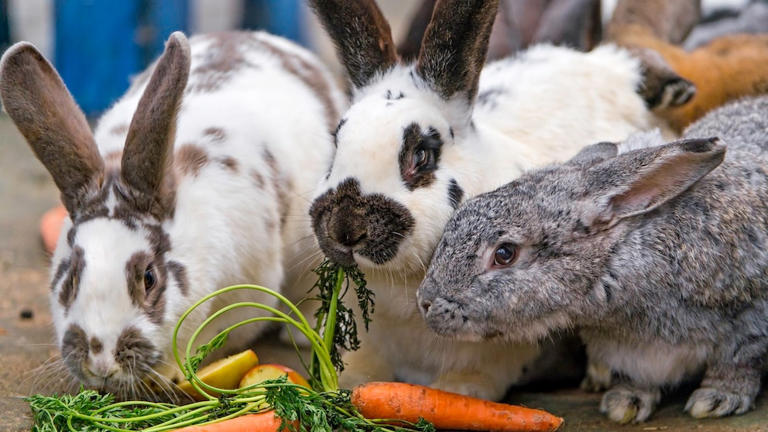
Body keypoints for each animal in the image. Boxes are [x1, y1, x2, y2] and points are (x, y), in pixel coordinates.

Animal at [419, 95, 768, 422]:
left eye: (504, 254)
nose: (425, 301)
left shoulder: (748, 321)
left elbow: (738, 362)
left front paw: (717, 399)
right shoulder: (632, 355)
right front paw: (624, 403)